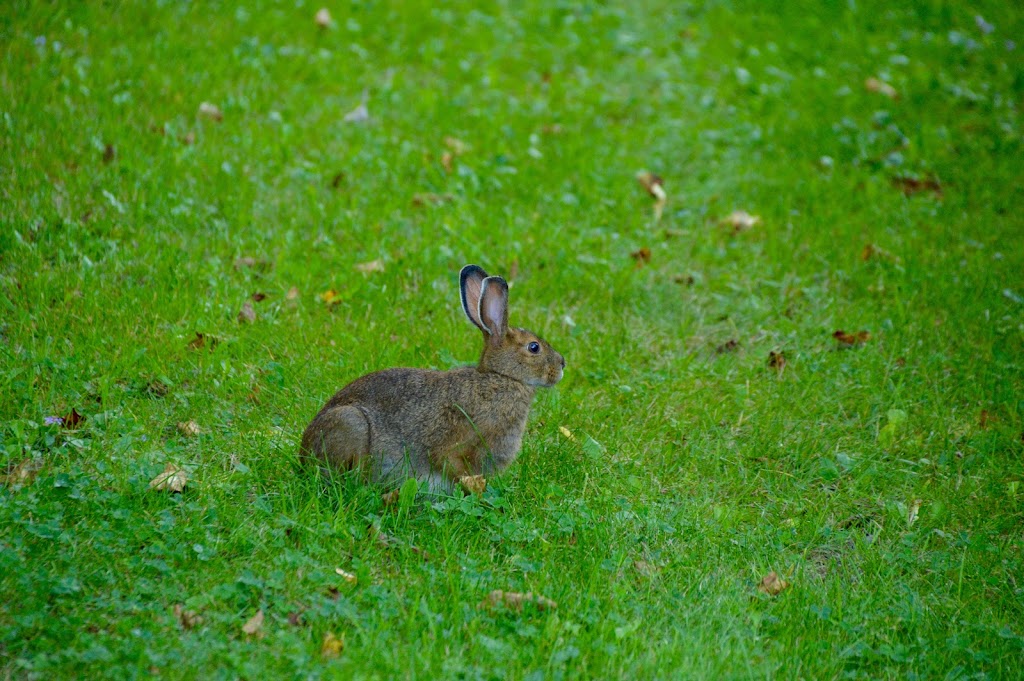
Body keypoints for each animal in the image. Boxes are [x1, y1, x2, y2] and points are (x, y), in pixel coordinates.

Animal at [299, 262, 565, 491]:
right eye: (534, 347)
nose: (562, 365)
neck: (502, 377)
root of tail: (303, 455)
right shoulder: (456, 442)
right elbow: (450, 464)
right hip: (351, 424)